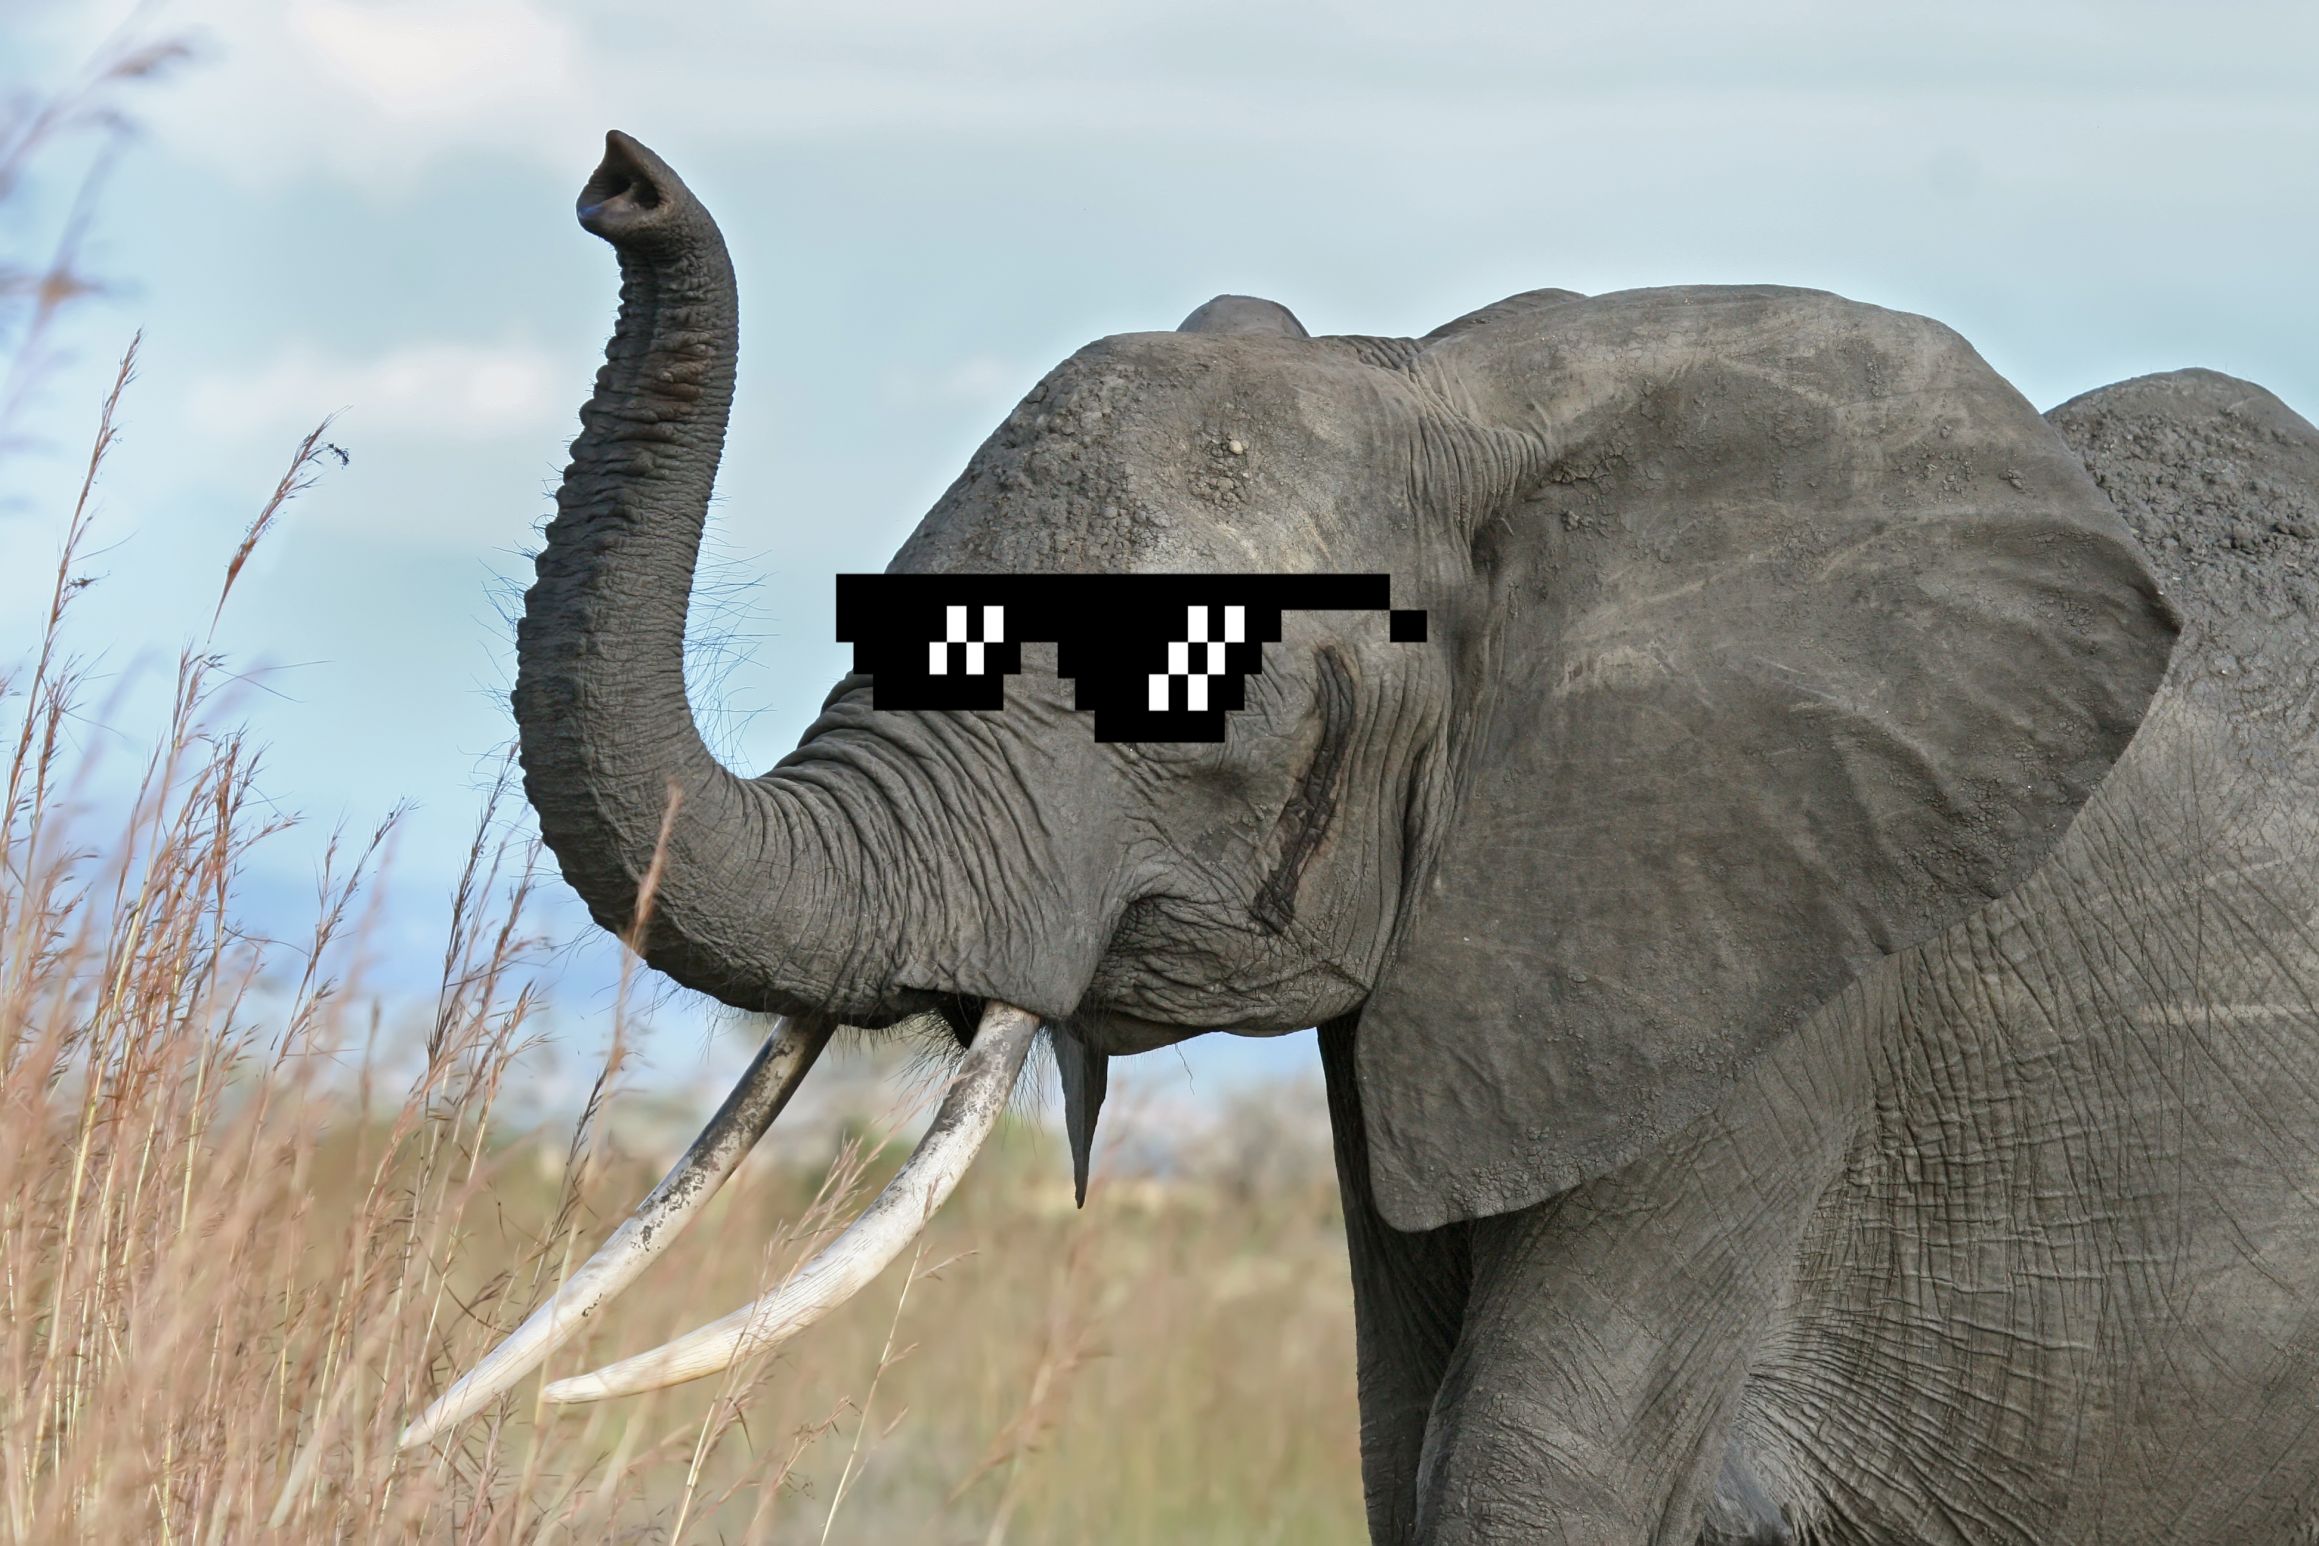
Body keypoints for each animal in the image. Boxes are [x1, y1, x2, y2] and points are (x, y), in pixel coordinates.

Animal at [404, 131, 2319, 1545]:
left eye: (1179, 685)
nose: (618, 179)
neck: (1443, 397)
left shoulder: (1771, 979)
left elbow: (1525, 1471)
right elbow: (1403, 1444)